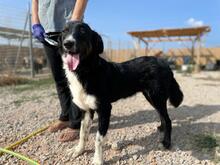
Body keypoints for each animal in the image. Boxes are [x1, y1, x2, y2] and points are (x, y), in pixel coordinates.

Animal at [59, 21, 183, 164]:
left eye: (83, 31)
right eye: (64, 31)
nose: (68, 43)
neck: (86, 70)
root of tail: (165, 63)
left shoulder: (105, 109)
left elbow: (98, 139)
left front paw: (97, 160)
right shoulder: (87, 110)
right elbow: (82, 133)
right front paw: (79, 150)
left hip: (156, 96)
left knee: (168, 120)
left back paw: (166, 143)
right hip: (151, 97)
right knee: (162, 115)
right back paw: (161, 128)